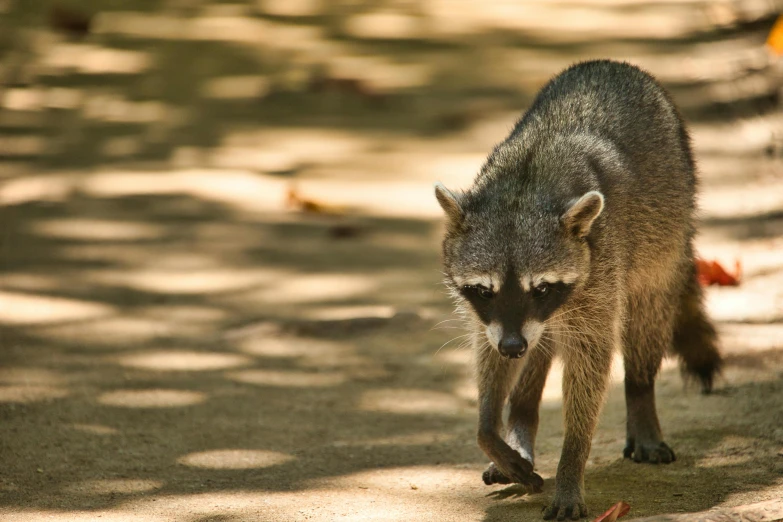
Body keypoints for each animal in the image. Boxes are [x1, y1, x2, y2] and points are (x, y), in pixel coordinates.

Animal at [434, 60, 724, 516]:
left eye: (541, 289)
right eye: (485, 290)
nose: (513, 346)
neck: (523, 185)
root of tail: (611, 63)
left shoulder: (598, 272)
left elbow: (591, 361)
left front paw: (572, 461)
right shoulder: (494, 318)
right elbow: (488, 351)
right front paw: (491, 428)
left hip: (665, 229)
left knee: (646, 319)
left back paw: (640, 396)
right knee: (540, 349)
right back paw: (521, 418)